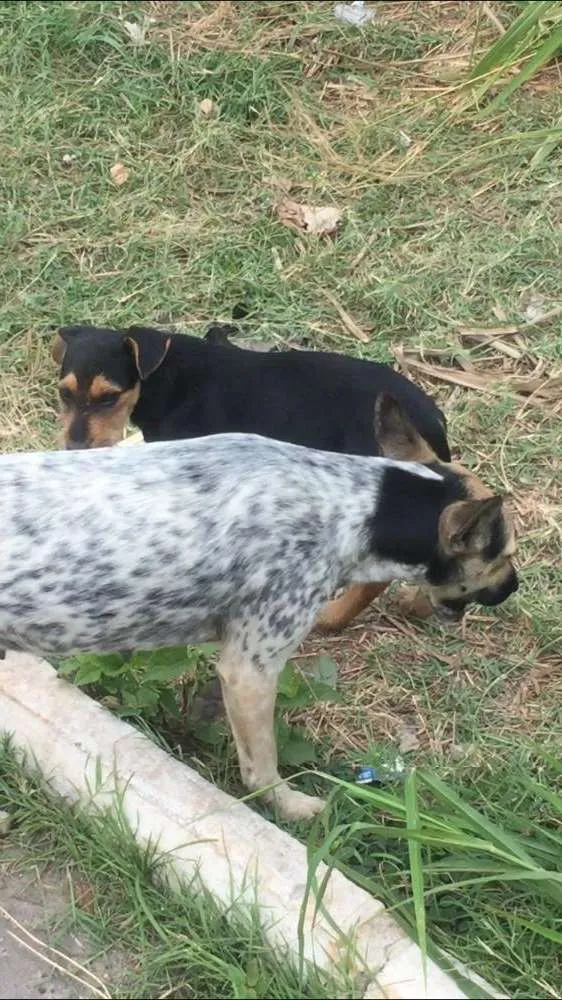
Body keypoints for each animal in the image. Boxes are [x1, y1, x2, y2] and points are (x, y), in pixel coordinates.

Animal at [0, 398, 516, 820]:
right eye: (505, 554)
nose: (514, 587)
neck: (351, 506)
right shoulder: (251, 671)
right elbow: (262, 767)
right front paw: (293, 806)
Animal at [52, 324, 516, 628]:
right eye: (63, 394)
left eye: (109, 398)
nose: (72, 448)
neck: (168, 378)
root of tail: (433, 419)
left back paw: (332, 618)